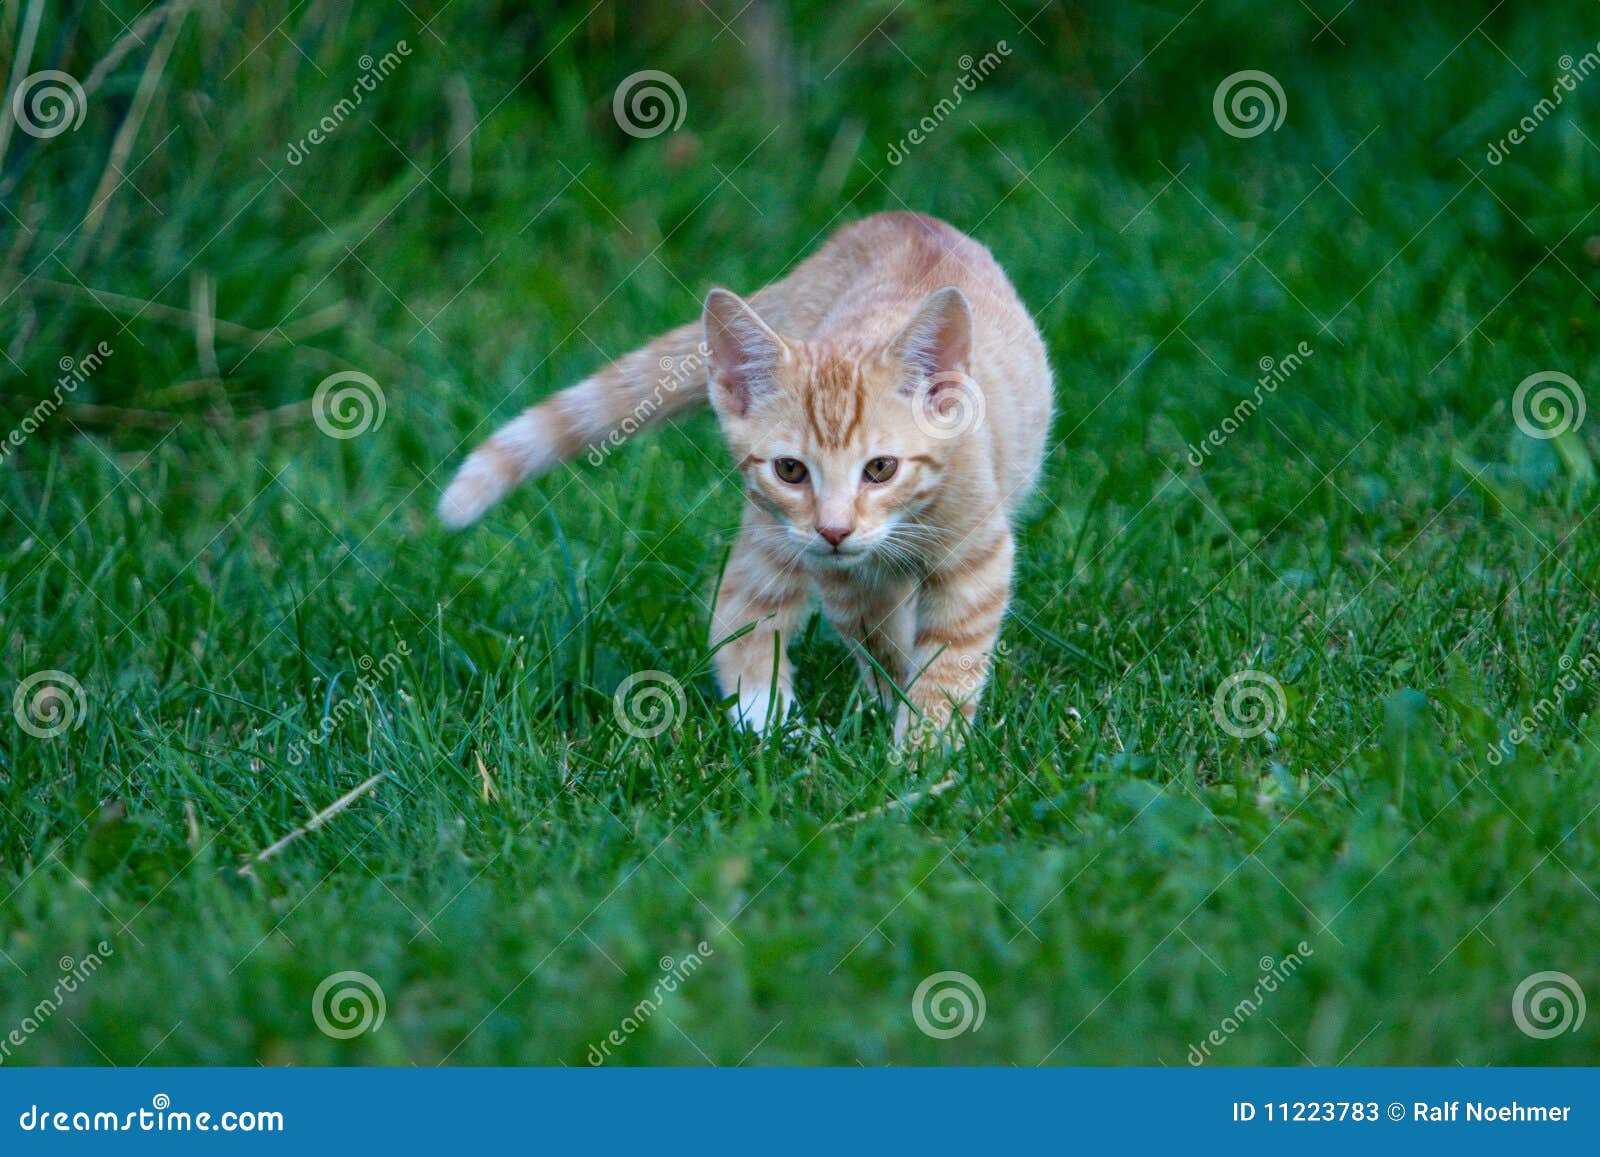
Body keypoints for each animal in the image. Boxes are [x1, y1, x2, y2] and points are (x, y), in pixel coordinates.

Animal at [444, 211, 1056, 742]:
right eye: (791, 469)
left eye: (881, 469)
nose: (835, 530)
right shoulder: (838, 573)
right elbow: (878, 641)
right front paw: (901, 726)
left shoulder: (975, 554)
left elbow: (948, 660)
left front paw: (924, 751)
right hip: (773, 534)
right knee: (739, 607)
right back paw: (774, 727)